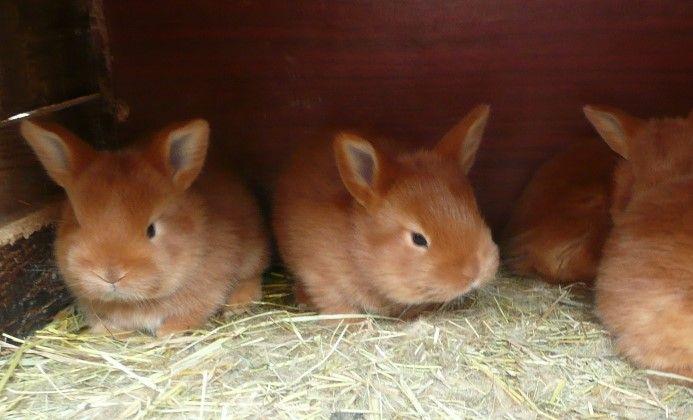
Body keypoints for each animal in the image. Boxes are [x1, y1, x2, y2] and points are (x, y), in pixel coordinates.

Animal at [20, 119, 269, 336]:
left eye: (151, 230)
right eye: (79, 224)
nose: (110, 275)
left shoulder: (211, 286)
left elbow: (194, 311)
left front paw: (169, 331)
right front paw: (108, 330)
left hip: (253, 253)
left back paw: (238, 304)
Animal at [273, 105, 499, 318]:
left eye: (475, 211)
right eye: (418, 238)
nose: (474, 272)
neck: (359, 247)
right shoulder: (319, 276)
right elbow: (336, 304)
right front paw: (353, 324)